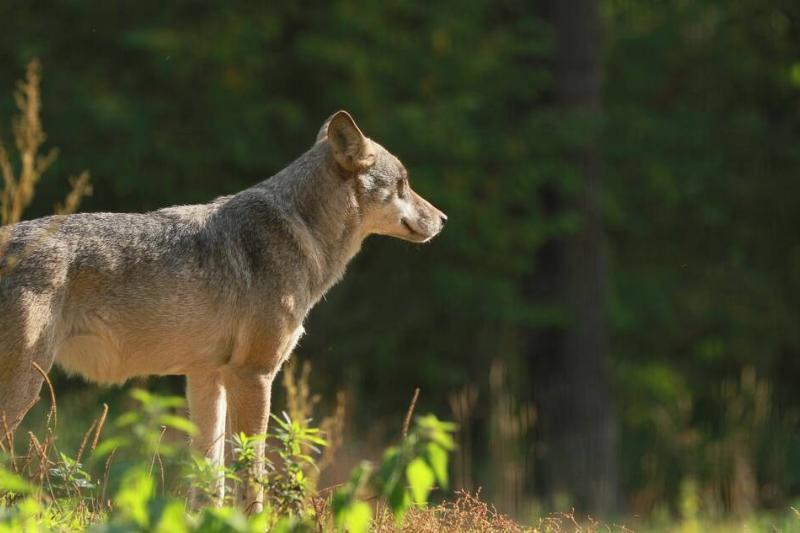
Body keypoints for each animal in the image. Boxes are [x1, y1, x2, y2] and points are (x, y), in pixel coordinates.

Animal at [0, 110, 446, 510]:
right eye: (404, 184)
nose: (443, 219)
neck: (301, 233)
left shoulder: (206, 378)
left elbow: (209, 478)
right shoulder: (254, 375)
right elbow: (253, 474)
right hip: (24, 388)